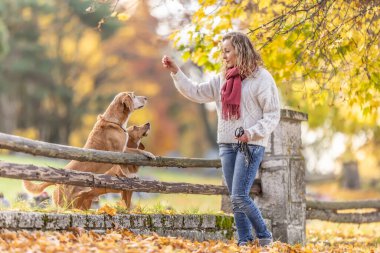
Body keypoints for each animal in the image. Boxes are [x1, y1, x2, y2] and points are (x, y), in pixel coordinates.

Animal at [23, 92, 154, 209]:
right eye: (133, 96)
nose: (146, 98)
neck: (114, 121)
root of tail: (57, 180)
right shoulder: (119, 152)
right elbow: (130, 158)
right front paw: (136, 168)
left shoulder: (123, 150)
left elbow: (134, 154)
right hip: (64, 203)